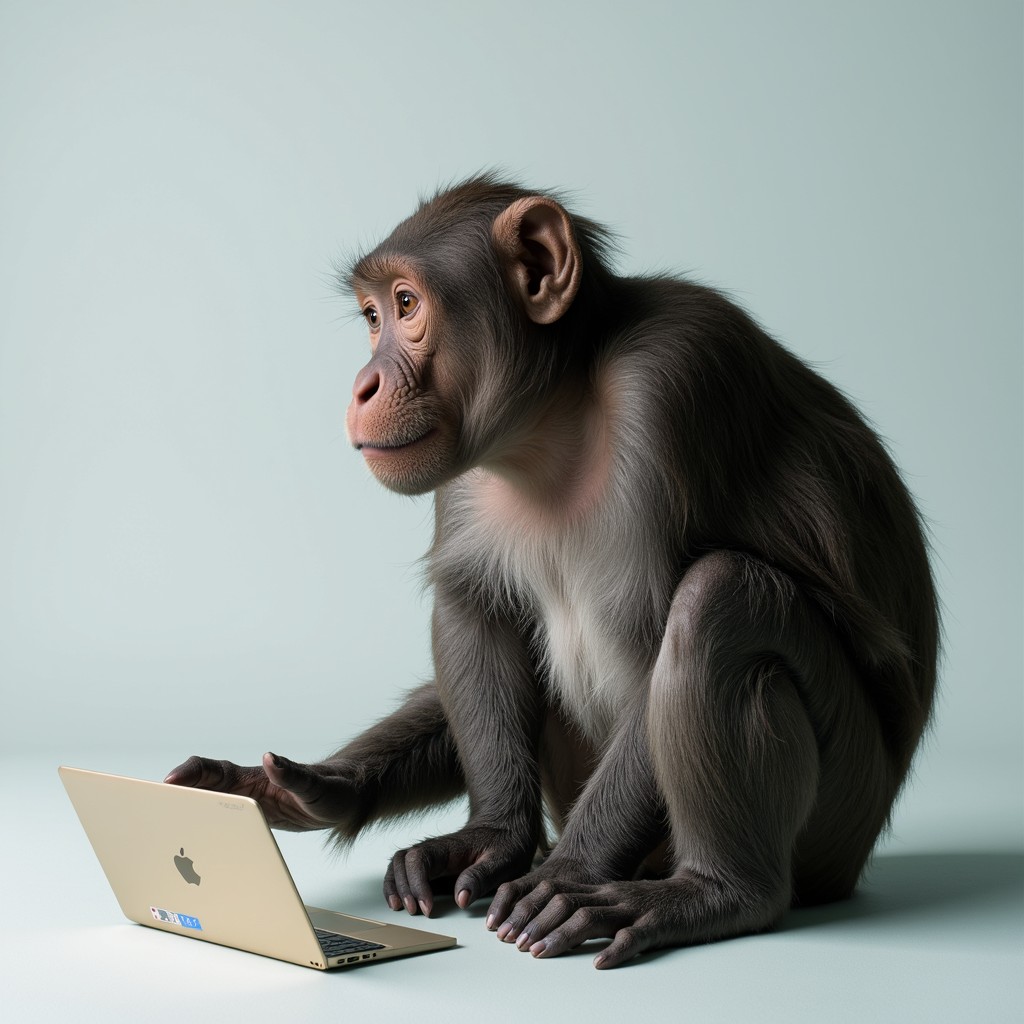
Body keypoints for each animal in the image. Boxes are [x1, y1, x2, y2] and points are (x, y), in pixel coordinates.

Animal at [166, 174, 938, 968]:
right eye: (371, 316)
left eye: (406, 306)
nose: (364, 384)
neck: (558, 417)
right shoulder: (465, 468)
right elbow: (473, 609)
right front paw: (484, 836)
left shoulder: (679, 377)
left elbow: (657, 635)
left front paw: (566, 873)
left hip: (843, 817)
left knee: (722, 599)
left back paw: (717, 891)